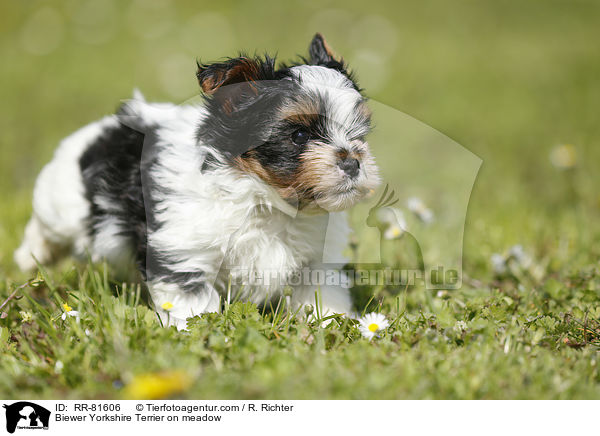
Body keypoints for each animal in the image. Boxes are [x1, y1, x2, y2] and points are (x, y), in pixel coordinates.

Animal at [15, 34, 380, 328]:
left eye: (358, 134)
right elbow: (193, 303)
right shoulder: (183, 250)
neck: (264, 199)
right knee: (46, 228)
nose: (352, 161)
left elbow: (322, 292)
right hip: (63, 203)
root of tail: (107, 127)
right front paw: (197, 333)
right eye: (299, 135)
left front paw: (335, 324)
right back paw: (31, 256)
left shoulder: (316, 259)